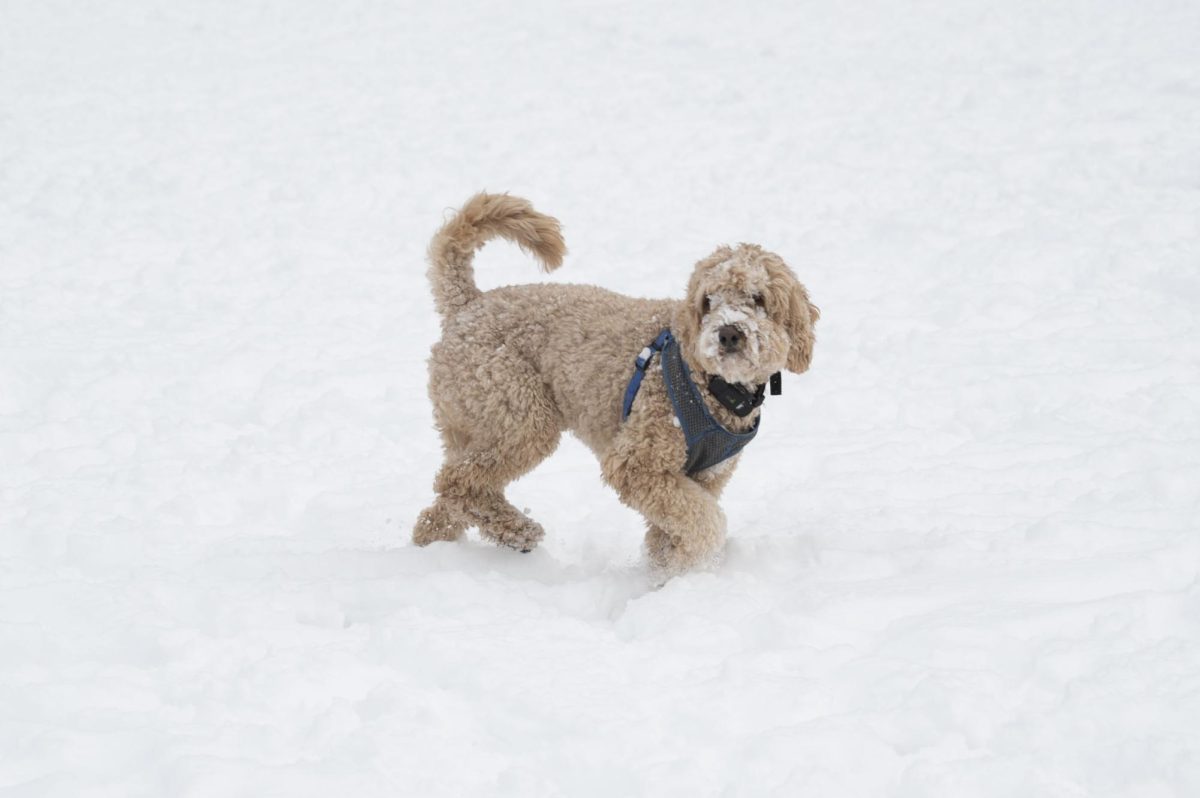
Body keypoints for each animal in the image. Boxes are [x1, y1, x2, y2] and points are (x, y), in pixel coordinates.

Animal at [410, 192, 816, 573]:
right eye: (708, 300)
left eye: (758, 298)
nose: (729, 334)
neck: (713, 387)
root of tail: (467, 305)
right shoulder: (638, 461)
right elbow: (703, 523)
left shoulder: (706, 476)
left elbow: (668, 533)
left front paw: (666, 571)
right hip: (518, 413)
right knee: (457, 482)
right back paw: (518, 530)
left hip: (470, 421)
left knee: (447, 497)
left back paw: (437, 544)